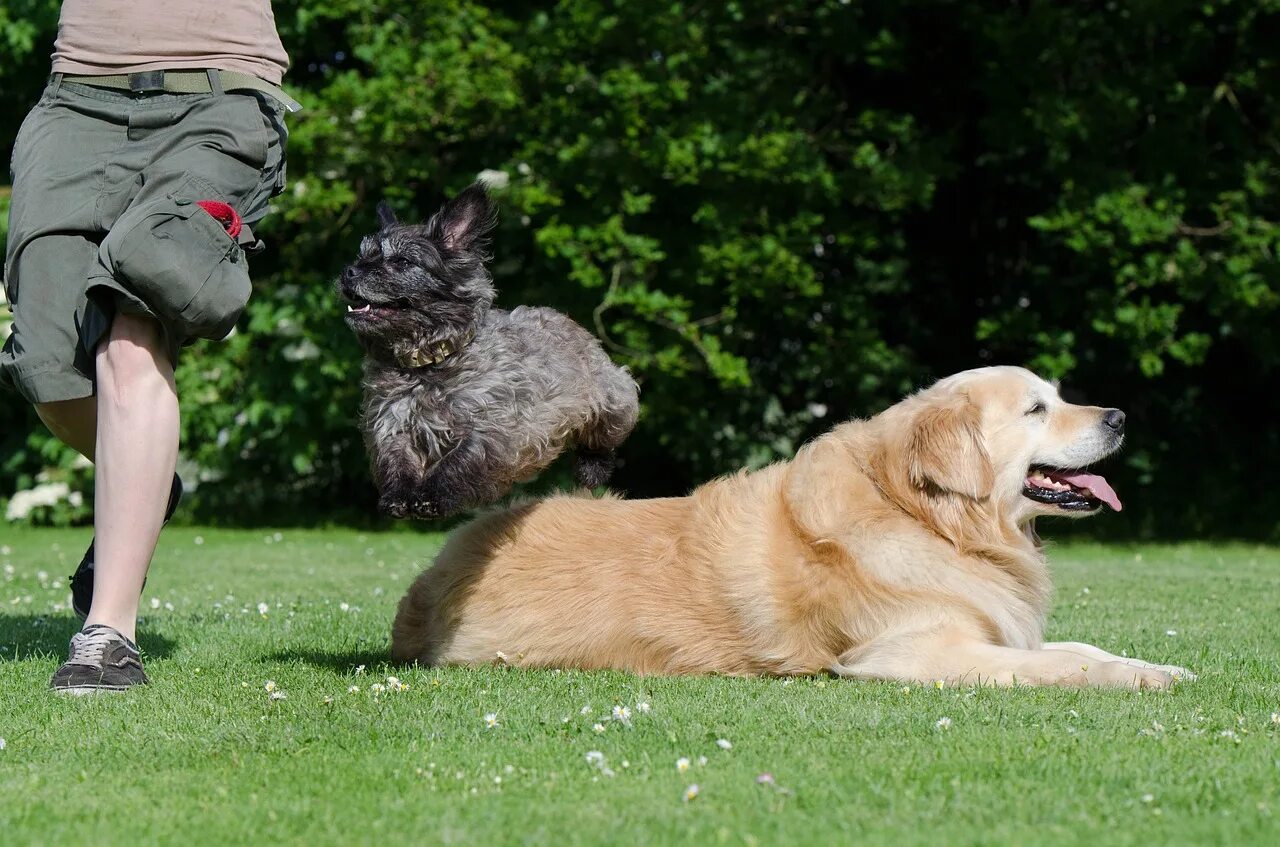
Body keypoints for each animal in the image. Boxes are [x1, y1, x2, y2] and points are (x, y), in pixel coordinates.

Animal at [340, 182, 640, 522]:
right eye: (362, 255)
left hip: (615, 400)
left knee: (602, 439)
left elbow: (459, 461)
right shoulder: (392, 425)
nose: (348, 272)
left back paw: (593, 468)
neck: (428, 363)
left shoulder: (492, 429)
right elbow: (397, 461)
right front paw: (398, 497)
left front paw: (430, 496)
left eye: (402, 262)